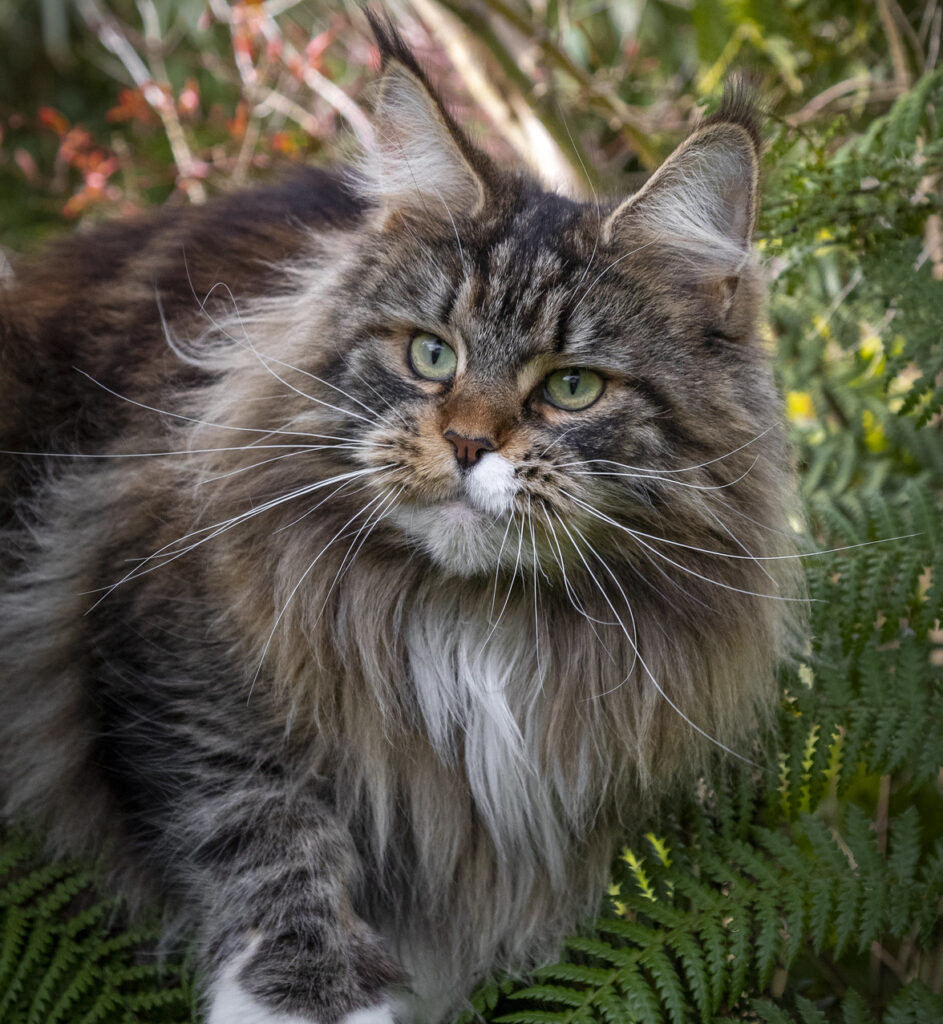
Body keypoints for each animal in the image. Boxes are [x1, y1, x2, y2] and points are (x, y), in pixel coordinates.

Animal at [0, 14, 802, 1024]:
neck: (472, 623)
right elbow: (263, 825)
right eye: (430, 355)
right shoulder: (162, 649)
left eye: (572, 388)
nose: (465, 442)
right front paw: (313, 996)